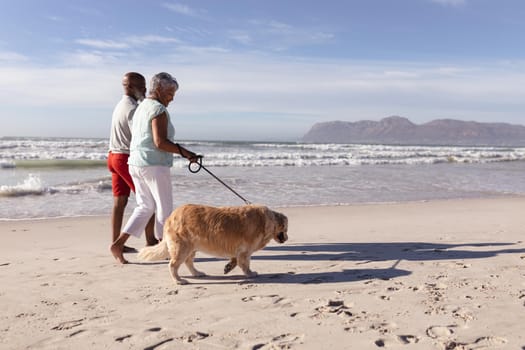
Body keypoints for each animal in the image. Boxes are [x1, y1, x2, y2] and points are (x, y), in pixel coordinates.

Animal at [137, 204, 288, 284]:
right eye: (285, 229)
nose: (286, 238)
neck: (265, 221)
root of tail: (171, 216)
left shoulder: (240, 250)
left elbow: (236, 259)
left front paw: (229, 266)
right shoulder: (245, 251)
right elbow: (244, 264)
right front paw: (250, 273)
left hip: (191, 247)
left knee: (188, 262)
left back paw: (197, 273)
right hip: (182, 247)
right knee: (173, 265)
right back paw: (178, 280)